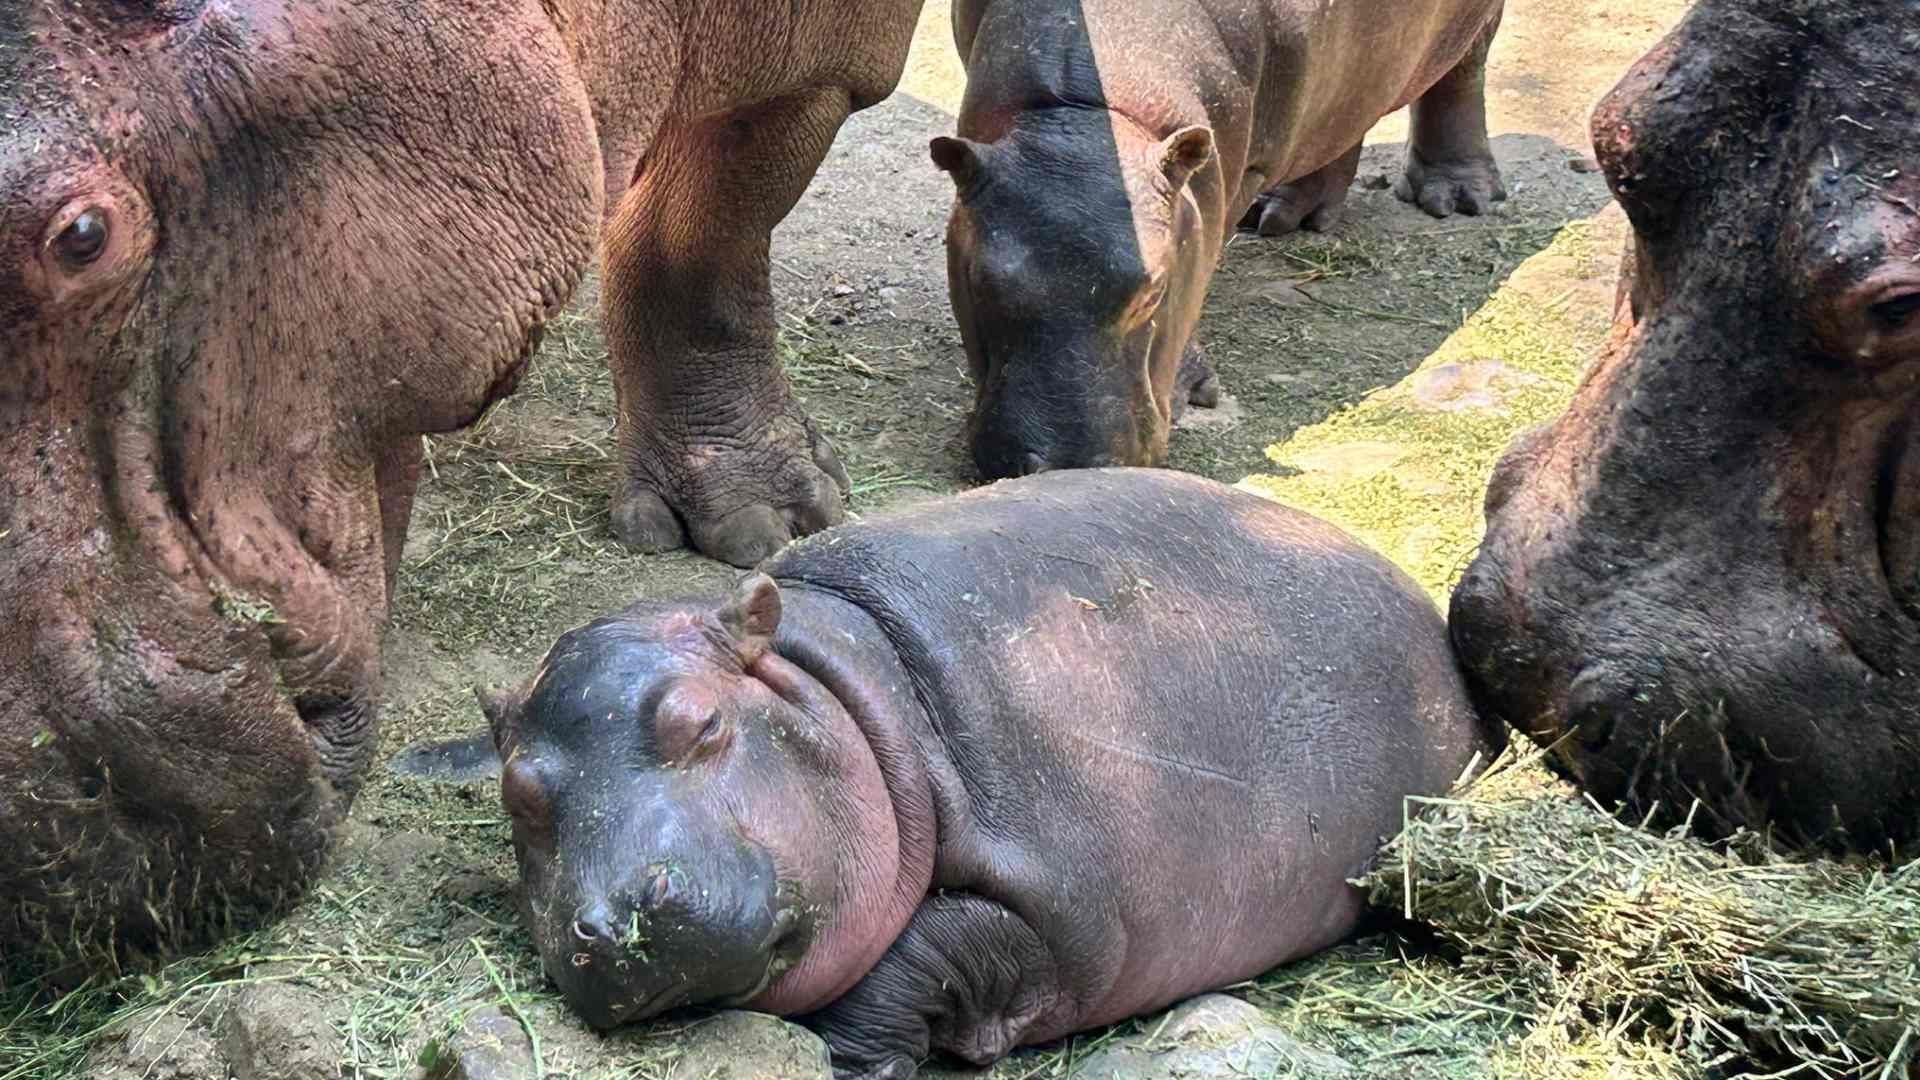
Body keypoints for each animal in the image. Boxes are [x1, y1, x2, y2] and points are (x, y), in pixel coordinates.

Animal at [468, 470, 1497, 1076]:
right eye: (518, 794)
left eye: (702, 720)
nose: (609, 925)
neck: (851, 692)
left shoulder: (1063, 910)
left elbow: (917, 956)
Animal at [936, 0, 1505, 478]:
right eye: (977, 279)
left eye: (1155, 292)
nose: (1064, 464)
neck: (1085, 114)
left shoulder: (1239, 170)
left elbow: (1203, 268)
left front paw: (1196, 391)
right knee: (1345, 116)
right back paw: (1283, 216)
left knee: (1463, 72)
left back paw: (1455, 198)